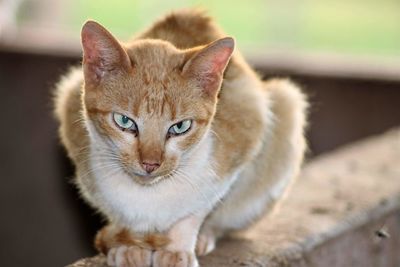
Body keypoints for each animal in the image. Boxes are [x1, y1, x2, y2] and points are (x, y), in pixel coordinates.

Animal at [54, 8, 306, 267]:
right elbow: (118, 212)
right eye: (124, 121)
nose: (150, 164)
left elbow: (195, 211)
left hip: (285, 106)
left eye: (180, 127)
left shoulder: (245, 134)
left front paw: (177, 249)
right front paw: (129, 244)